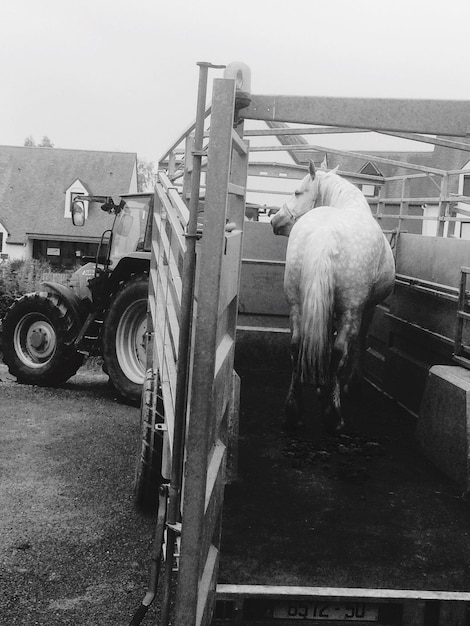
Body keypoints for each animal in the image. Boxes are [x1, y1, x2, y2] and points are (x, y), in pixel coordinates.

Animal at [270, 161, 394, 432]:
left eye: (297, 192)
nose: (274, 220)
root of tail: (325, 234)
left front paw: (321, 384)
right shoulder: (365, 308)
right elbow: (358, 344)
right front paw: (349, 387)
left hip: (296, 304)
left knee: (296, 345)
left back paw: (293, 412)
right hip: (350, 309)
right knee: (339, 351)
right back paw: (333, 415)